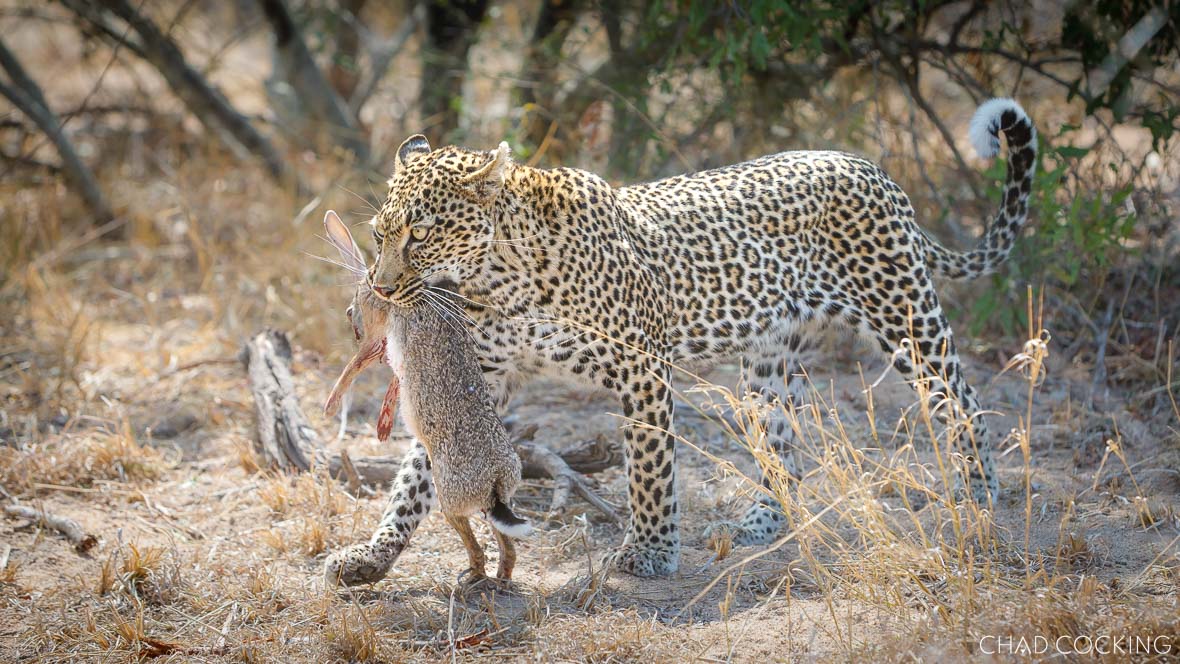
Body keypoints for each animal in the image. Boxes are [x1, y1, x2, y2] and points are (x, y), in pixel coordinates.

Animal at [321, 210, 531, 584]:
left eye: (349, 313)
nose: (353, 324)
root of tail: (494, 481)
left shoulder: (376, 335)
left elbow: (355, 364)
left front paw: (330, 407)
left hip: (446, 494)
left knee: (467, 532)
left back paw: (471, 576)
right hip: (496, 497)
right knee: (506, 542)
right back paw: (501, 577)